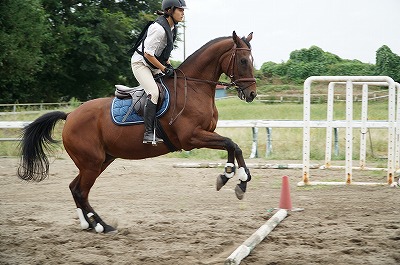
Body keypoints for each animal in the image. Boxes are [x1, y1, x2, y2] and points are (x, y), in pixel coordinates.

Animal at [18, 31, 256, 232]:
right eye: (243, 61)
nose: (252, 94)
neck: (195, 87)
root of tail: (70, 116)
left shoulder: (204, 135)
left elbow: (232, 146)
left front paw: (234, 177)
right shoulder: (191, 138)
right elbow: (231, 143)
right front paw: (234, 178)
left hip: (100, 160)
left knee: (75, 188)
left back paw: (91, 224)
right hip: (91, 163)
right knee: (80, 191)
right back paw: (101, 226)